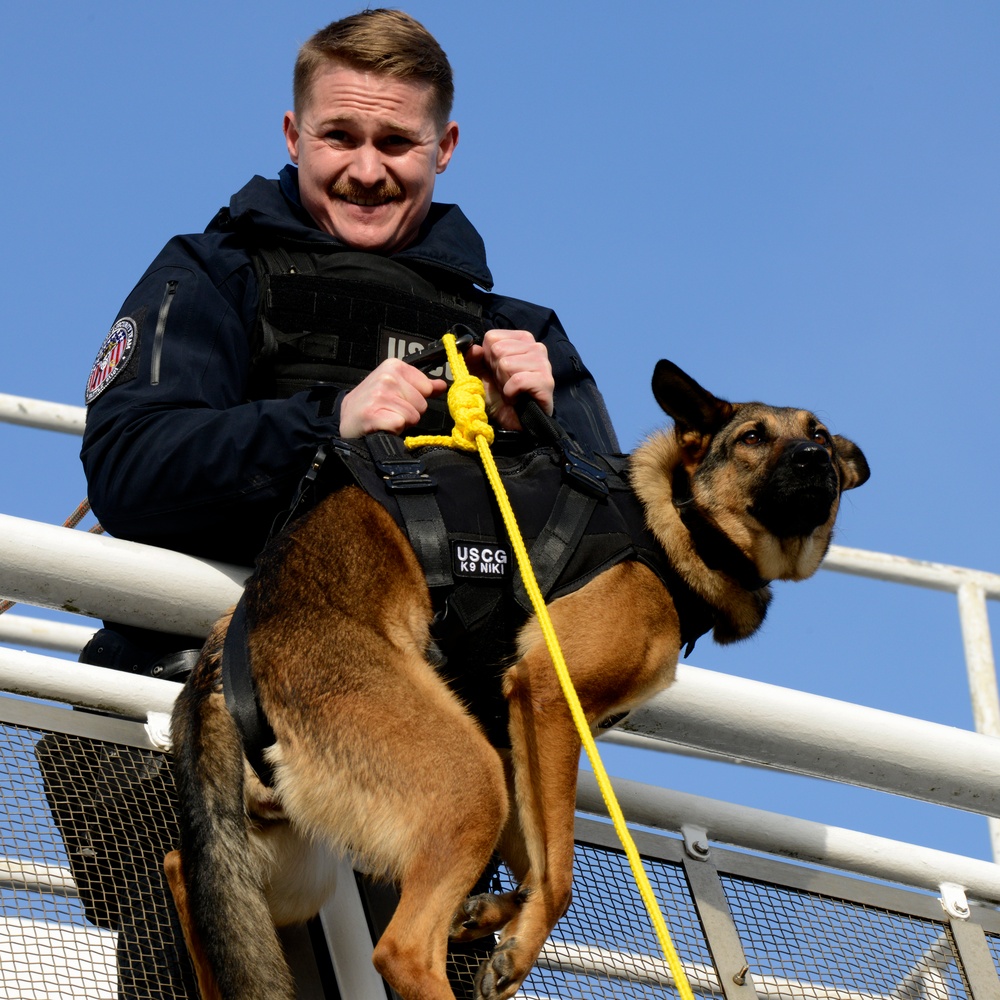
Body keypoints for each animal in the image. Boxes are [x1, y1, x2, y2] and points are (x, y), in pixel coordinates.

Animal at [166, 360, 868, 1000]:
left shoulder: (516, 735)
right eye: (752, 436)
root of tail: (227, 656)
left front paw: (493, 914)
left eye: (819, 433)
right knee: (402, 950)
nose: (816, 460)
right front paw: (519, 944)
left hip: (296, 862)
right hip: (465, 781)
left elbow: (538, 859)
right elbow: (559, 874)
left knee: (186, 871)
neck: (671, 517)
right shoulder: (550, 696)